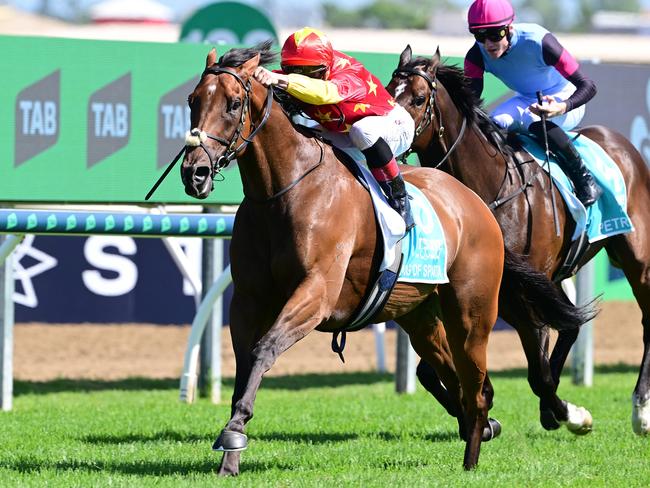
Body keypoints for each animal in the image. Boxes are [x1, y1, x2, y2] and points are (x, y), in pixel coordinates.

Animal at [178, 43, 588, 474]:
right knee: (460, 377)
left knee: (481, 384)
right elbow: (245, 360)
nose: (195, 173)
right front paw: (232, 448)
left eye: (233, 103)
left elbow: (264, 349)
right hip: (419, 314)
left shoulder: (316, 293)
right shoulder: (248, 299)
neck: (283, 190)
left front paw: (233, 435)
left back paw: (477, 456)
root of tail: (476, 203)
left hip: (472, 312)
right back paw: (489, 426)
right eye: (193, 101)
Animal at [388, 44, 644, 434]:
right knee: (569, 324)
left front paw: (572, 415)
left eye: (418, 99)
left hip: (636, 255)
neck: (486, 189)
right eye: (388, 92)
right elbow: (430, 372)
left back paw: (639, 410)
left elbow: (539, 375)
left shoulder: (518, 294)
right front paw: (479, 418)